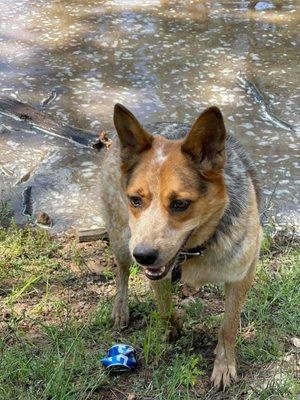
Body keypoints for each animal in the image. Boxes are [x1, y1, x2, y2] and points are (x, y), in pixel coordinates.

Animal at [99, 104, 262, 390]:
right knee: (122, 271)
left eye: (180, 204)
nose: (143, 256)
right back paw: (121, 307)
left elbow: (228, 325)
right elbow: (163, 305)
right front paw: (171, 327)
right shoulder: (154, 269)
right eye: (135, 200)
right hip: (121, 238)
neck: (197, 248)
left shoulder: (242, 274)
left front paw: (224, 365)